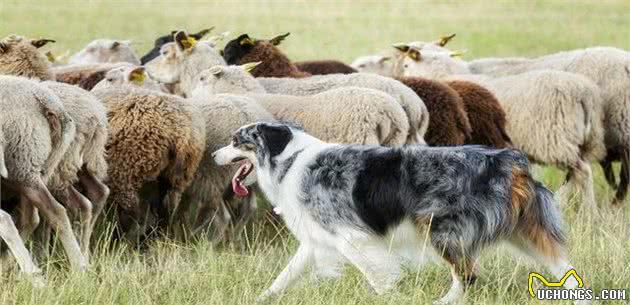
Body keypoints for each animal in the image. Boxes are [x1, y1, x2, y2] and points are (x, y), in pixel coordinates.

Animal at [396, 48, 608, 210]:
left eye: (406, 65)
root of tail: (585, 93)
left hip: (555, 140)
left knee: (583, 172)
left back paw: (590, 212)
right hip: (579, 142)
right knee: (576, 173)